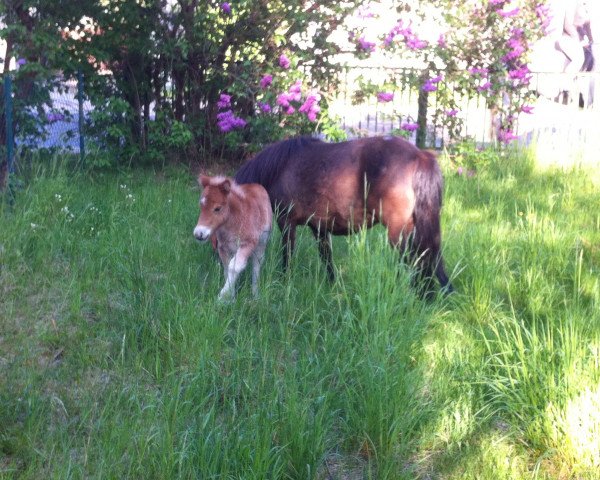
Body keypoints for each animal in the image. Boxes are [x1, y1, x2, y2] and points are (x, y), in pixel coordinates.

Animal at [234, 135, 454, 292]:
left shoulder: (287, 223)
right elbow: (327, 259)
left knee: (418, 263)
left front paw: (283, 282)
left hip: (399, 235)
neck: (281, 168)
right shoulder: (319, 227)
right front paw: (334, 286)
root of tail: (420, 156)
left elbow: (287, 256)